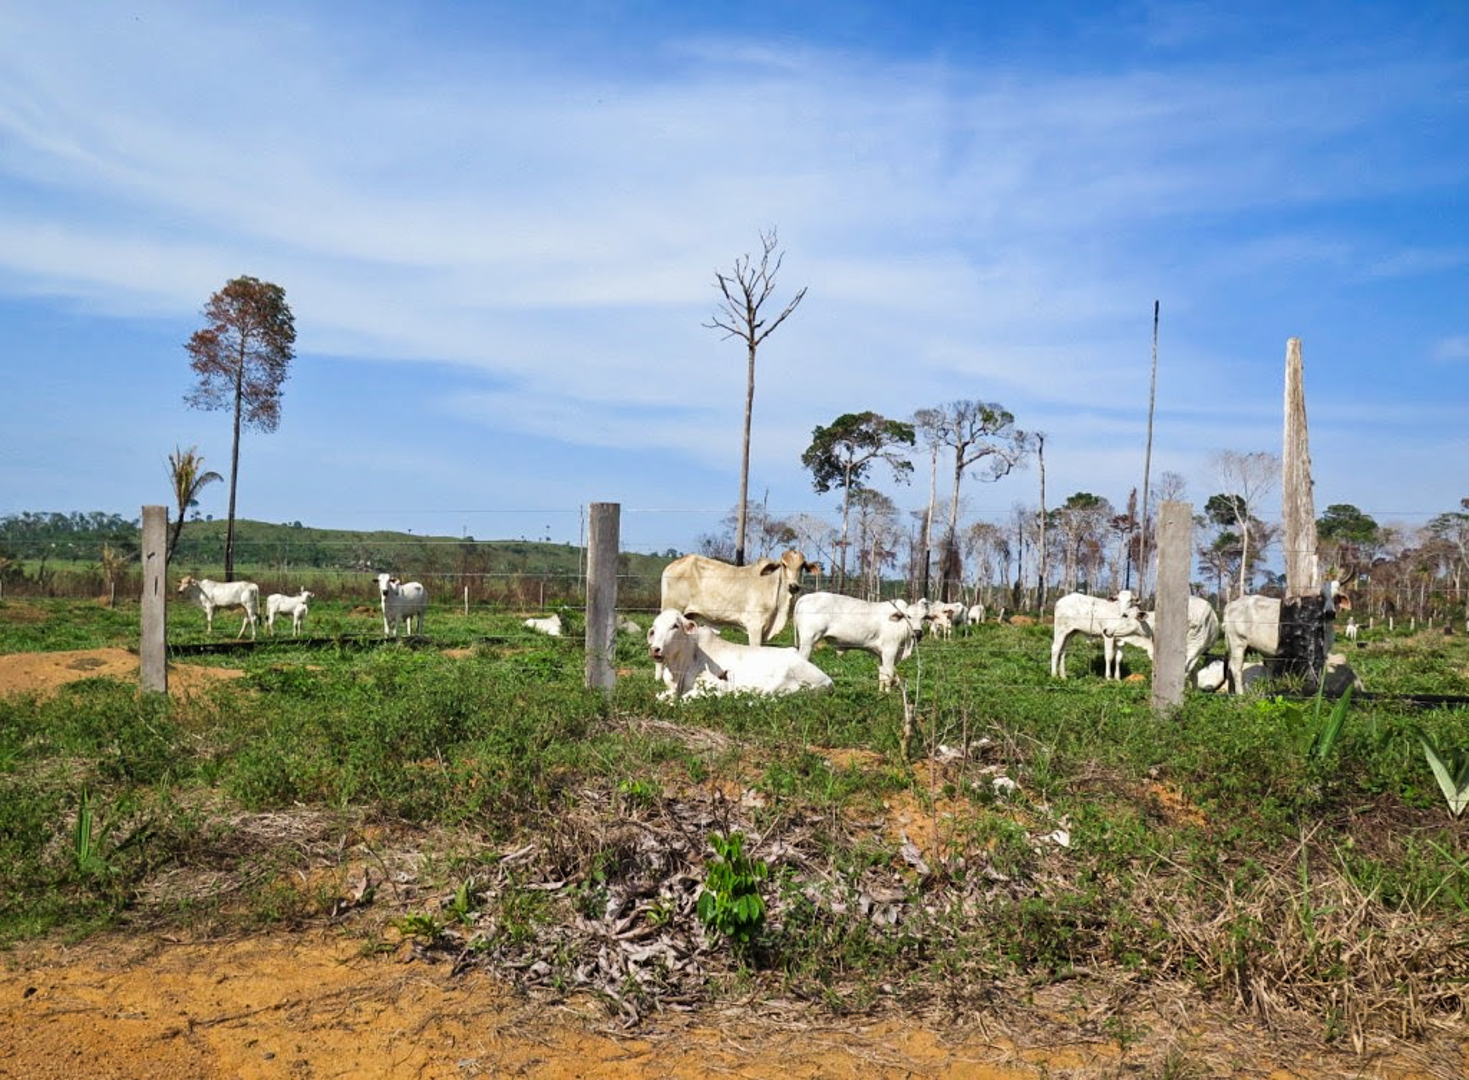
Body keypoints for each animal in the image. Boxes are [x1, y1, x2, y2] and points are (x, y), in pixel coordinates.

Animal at [793, 590, 928, 693]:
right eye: (908, 616)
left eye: (924, 617)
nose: (918, 633)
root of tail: (804, 597)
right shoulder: (889, 651)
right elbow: (889, 675)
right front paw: (888, 695)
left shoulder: (880, 654)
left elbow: (882, 675)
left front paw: (881, 693)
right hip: (808, 640)